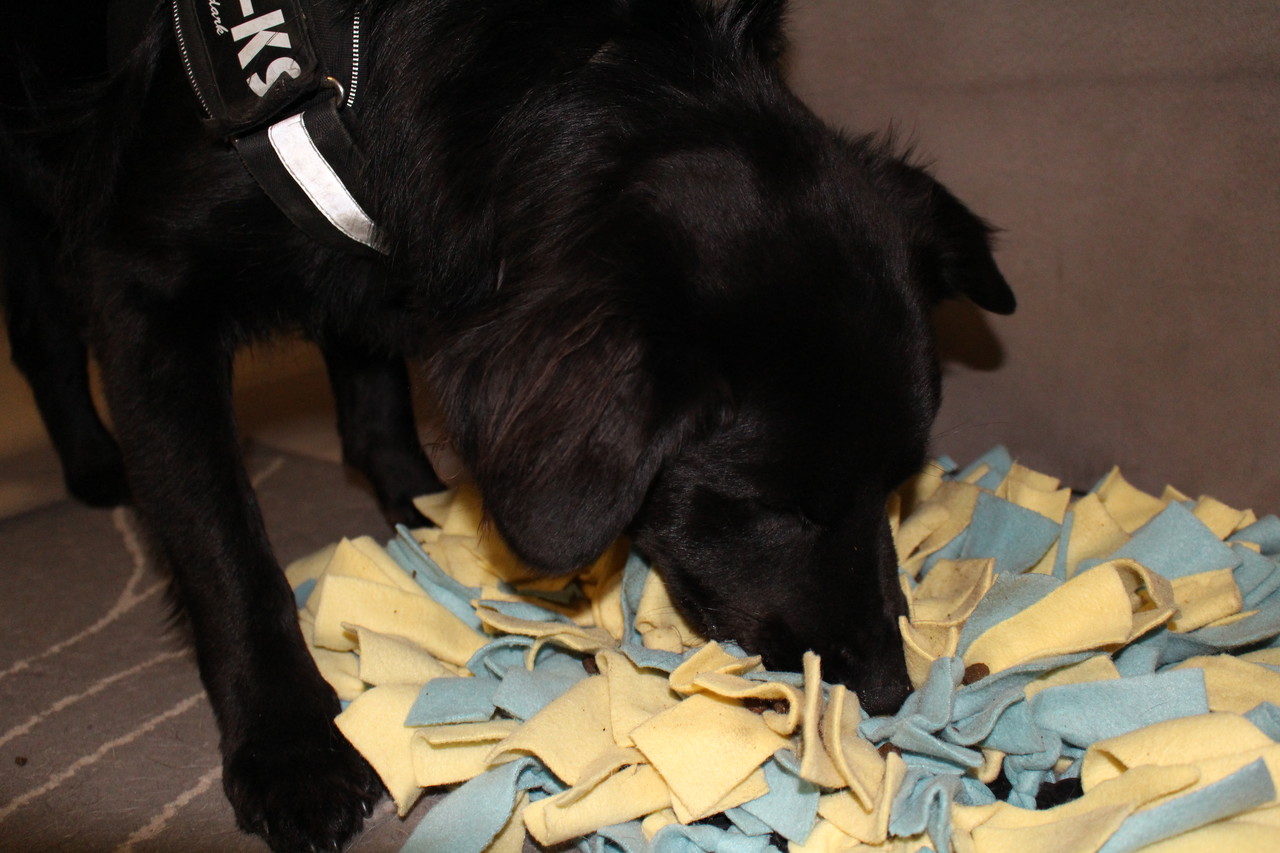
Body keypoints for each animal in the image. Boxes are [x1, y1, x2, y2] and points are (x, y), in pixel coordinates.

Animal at [1, 0, 1014, 849]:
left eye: (897, 490)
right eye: (783, 508)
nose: (887, 689)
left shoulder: (377, 235)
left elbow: (370, 384)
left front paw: (420, 518)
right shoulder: (144, 290)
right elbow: (224, 550)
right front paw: (289, 748)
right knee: (41, 324)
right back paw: (92, 462)